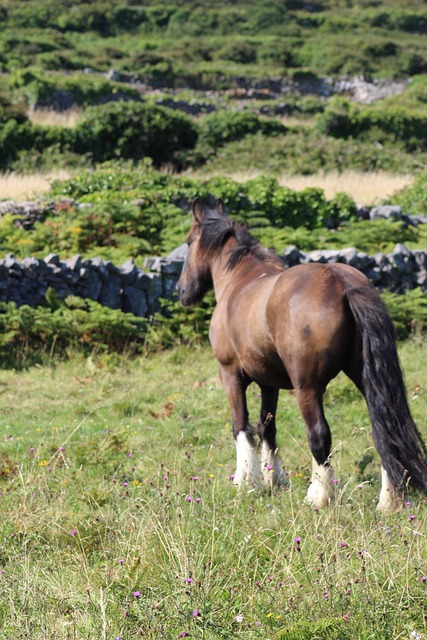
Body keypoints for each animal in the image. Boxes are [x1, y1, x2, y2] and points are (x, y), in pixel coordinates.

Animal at [176, 199, 427, 511]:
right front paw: (273, 478)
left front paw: (247, 481)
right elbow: (267, 427)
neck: (240, 280)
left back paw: (318, 496)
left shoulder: (231, 374)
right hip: (365, 378)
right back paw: (388, 500)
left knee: (319, 435)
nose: (181, 291)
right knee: (384, 429)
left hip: (307, 387)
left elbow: (241, 426)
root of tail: (342, 282)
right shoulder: (268, 382)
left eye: (189, 241)